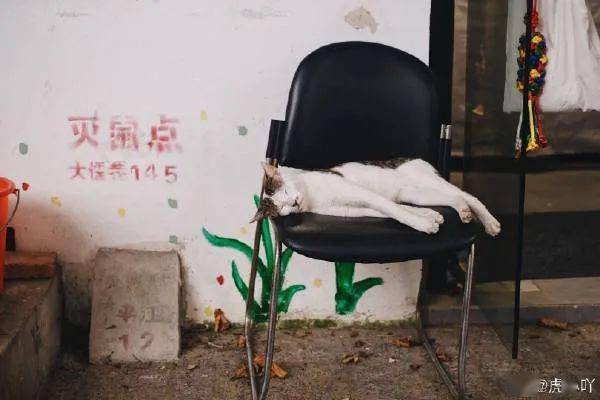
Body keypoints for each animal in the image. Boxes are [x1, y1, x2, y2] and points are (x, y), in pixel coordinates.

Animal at [252, 157, 501, 236]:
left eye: (285, 192)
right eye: (280, 209)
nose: (293, 203)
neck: (310, 195)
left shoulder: (358, 191)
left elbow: (394, 209)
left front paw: (423, 225)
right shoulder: (351, 210)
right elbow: (392, 211)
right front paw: (430, 217)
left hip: (428, 180)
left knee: (469, 196)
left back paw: (490, 223)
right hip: (415, 193)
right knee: (455, 199)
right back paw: (463, 212)